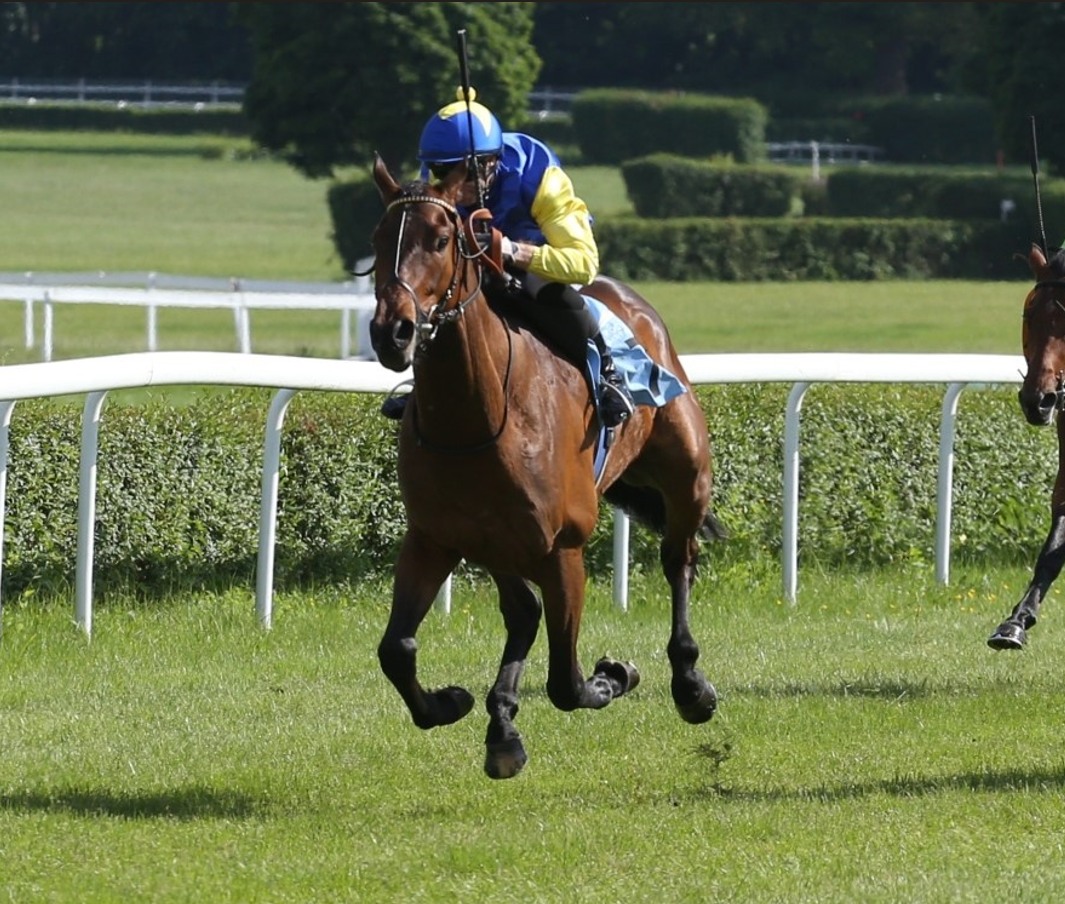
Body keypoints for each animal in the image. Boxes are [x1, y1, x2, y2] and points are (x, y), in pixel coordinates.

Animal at [366, 155, 724, 775]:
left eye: (440, 240)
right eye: (379, 237)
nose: (394, 331)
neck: (477, 418)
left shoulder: (563, 549)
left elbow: (567, 683)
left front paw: (614, 675)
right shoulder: (437, 537)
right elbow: (397, 648)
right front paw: (453, 703)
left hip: (685, 475)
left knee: (678, 559)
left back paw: (690, 684)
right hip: (498, 542)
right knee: (522, 611)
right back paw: (501, 724)